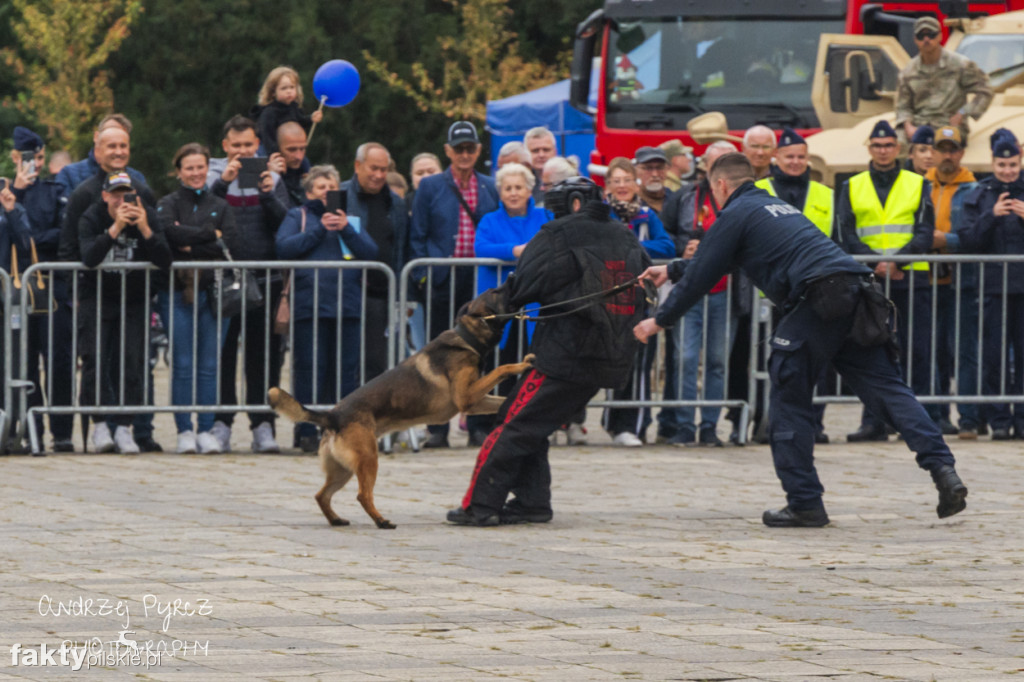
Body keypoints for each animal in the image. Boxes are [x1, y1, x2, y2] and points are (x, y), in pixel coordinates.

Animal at [268, 284, 532, 528]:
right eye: (496, 291)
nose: (512, 276)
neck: (466, 337)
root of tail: (333, 415)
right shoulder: (466, 397)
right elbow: (501, 369)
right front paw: (521, 365)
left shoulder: (474, 402)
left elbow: (500, 401)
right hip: (368, 459)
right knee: (362, 495)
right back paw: (381, 521)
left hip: (344, 469)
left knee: (321, 495)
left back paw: (336, 519)